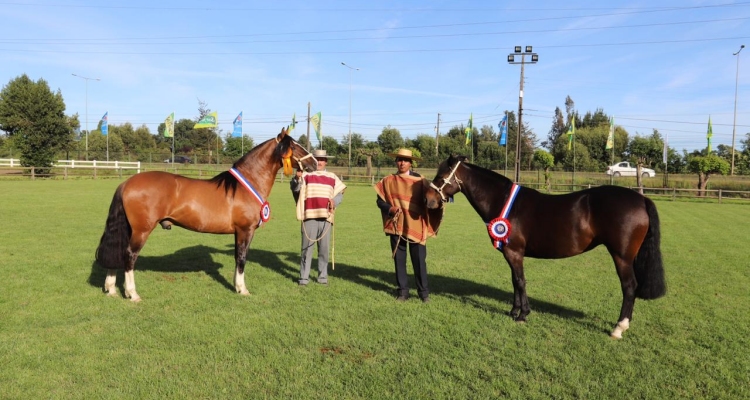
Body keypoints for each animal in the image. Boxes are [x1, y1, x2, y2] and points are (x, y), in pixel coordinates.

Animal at [94, 126, 318, 302]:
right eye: (295, 146)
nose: (315, 163)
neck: (245, 185)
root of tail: (126, 183)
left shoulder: (238, 232)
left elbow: (237, 257)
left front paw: (237, 286)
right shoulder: (245, 230)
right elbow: (242, 258)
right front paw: (242, 289)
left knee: (118, 253)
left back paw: (111, 289)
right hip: (141, 230)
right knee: (130, 256)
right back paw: (132, 294)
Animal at [426, 155, 668, 338]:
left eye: (441, 176)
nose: (429, 200)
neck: (504, 202)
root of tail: (640, 199)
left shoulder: (514, 252)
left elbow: (520, 281)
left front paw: (522, 315)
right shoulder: (511, 254)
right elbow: (514, 282)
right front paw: (514, 311)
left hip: (622, 256)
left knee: (629, 287)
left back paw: (619, 327)